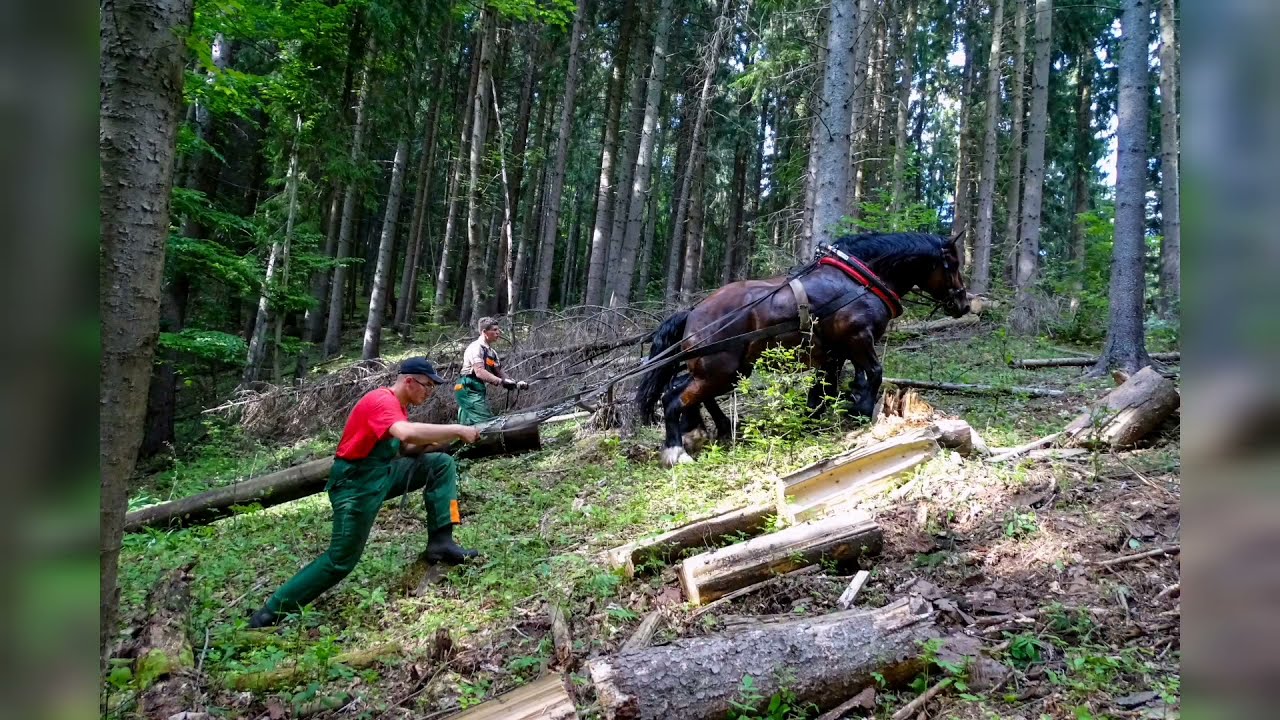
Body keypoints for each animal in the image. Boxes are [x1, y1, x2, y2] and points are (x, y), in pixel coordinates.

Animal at [635, 232, 971, 466]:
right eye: (953, 264)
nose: (964, 304)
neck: (860, 281)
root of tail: (692, 312)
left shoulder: (834, 354)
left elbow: (826, 389)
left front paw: (817, 418)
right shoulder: (858, 339)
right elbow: (873, 373)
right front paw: (860, 411)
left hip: (727, 370)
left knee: (686, 389)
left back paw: (710, 429)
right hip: (719, 371)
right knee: (673, 398)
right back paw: (677, 450)